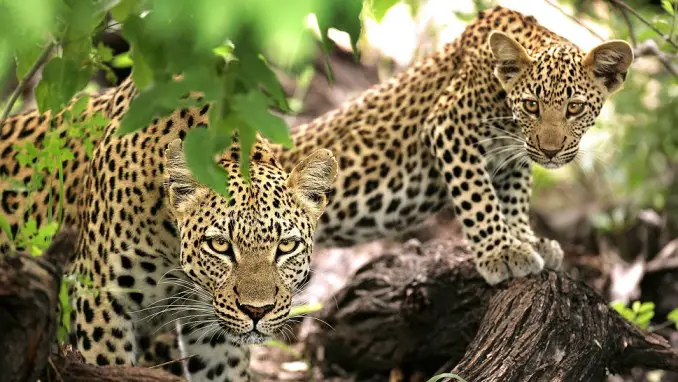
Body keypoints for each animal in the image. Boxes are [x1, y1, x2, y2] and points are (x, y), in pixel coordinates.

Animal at [274, 5, 636, 284]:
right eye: (532, 105)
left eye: (574, 107)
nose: (550, 152)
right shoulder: (449, 125)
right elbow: (478, 196)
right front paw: (503, 252)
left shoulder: (513, 153)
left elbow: (515, 197)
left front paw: (527, 239)